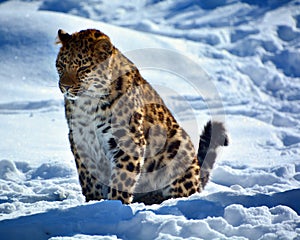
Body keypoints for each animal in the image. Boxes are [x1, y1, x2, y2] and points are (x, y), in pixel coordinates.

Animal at [55, 28, 227, 204]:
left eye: (82, 68)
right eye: (61, 66)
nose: (65, 86)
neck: (88, 103)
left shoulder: (129, 139)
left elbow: (122, 178)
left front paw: (115, 205)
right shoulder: (79, 140)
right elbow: (88, 178)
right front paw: (93, 203)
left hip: (178, 146)